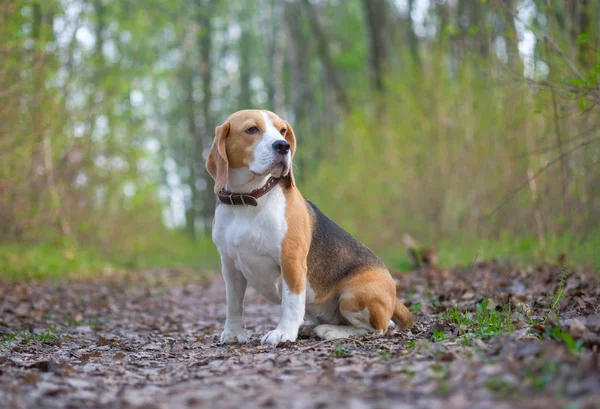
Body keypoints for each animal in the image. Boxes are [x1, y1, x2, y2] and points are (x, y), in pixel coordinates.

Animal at [206, 109, 412, 344]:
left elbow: (291, 302)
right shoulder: (230, 265)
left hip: (354, 296)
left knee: (379, 328)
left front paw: (283, 332)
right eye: (252, 129)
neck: (248, 199)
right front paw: (233, 332)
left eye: (282, 130)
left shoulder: (291, 260)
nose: (283, 146)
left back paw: (330, 331)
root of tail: (394, 295)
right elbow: (233, 303)